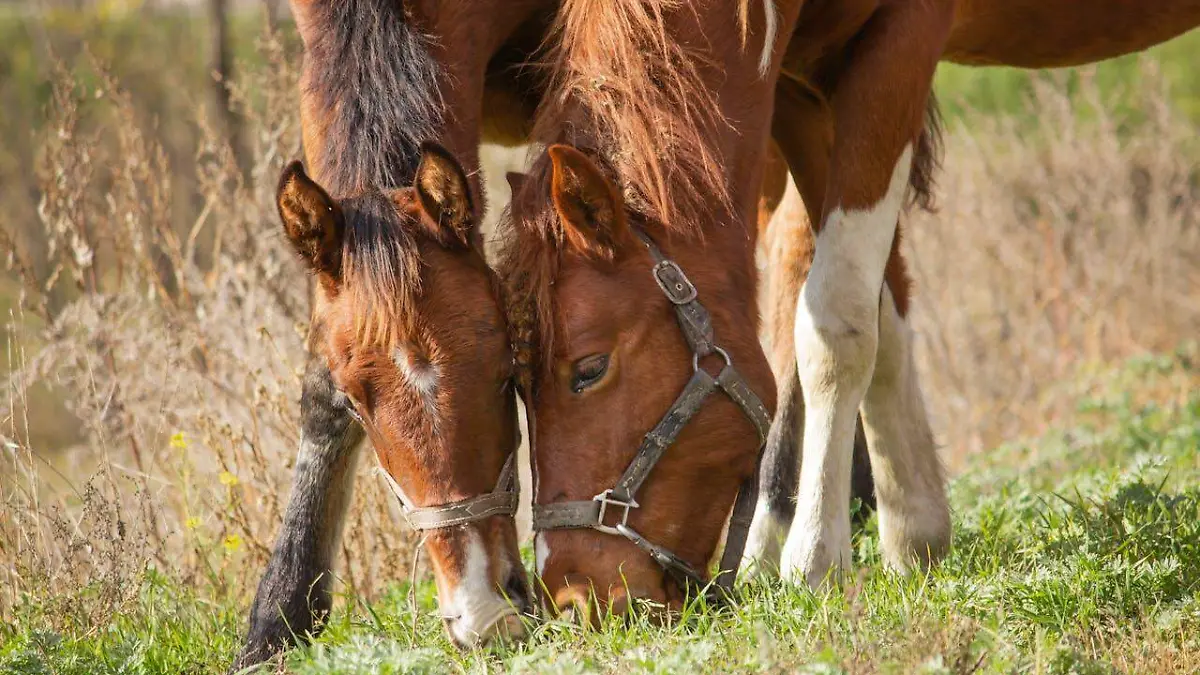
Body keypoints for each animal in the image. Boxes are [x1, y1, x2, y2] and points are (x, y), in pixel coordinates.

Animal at [743, 0, 1200, 589]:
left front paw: (816, 554)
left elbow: (838, 319)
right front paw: (911, 527)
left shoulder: (893, 47)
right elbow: (868, 303)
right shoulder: (799, 88)